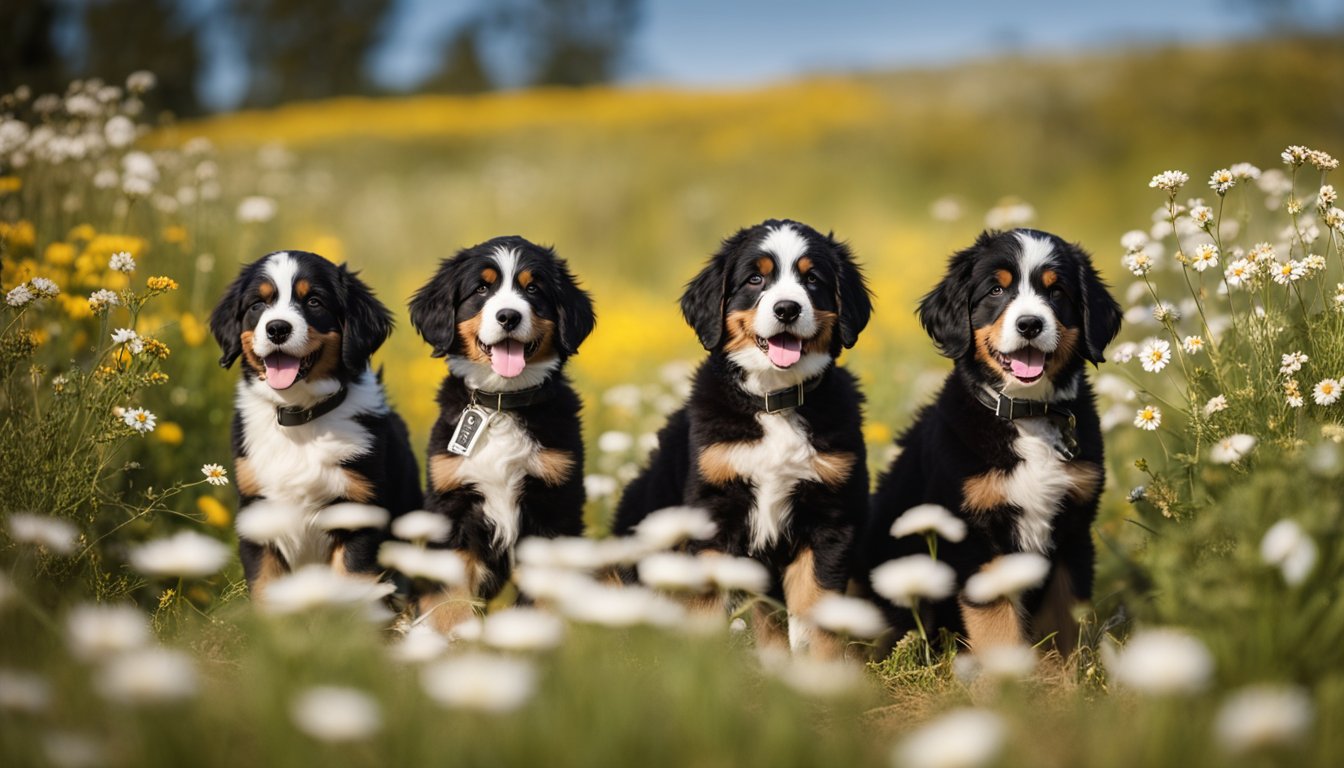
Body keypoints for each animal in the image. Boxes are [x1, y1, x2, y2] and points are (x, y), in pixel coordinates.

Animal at [209, 251, 422, 594]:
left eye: (314, 302)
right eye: (258, 305)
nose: (277, 328)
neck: (300, 417)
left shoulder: (359, 515)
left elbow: (352, 586)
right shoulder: (257, 515)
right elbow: (266, 588)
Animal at [405, 238, 596, 634]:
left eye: (533, 289)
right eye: (482, 288)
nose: (508, 316)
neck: (501, 405)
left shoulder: (555, 505)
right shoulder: (452, 505)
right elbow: (449, 598)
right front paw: (451, 638)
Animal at [615, 219, 876, 659]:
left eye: (812, 279)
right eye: (756, 279)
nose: (787, 308)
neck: (774, 401)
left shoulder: (830, 518)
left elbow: (818, 617)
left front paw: (823, 673)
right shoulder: (712, 511)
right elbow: (705, 607)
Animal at [860, 227, 1123, 656]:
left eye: (1057, 292)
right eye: (996, 290)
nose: (1030, 324)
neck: (1026, 414)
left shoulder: (1073, 530)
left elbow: (1065, 621)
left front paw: (1069, 671)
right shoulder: (975, 535)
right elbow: (997, 623)